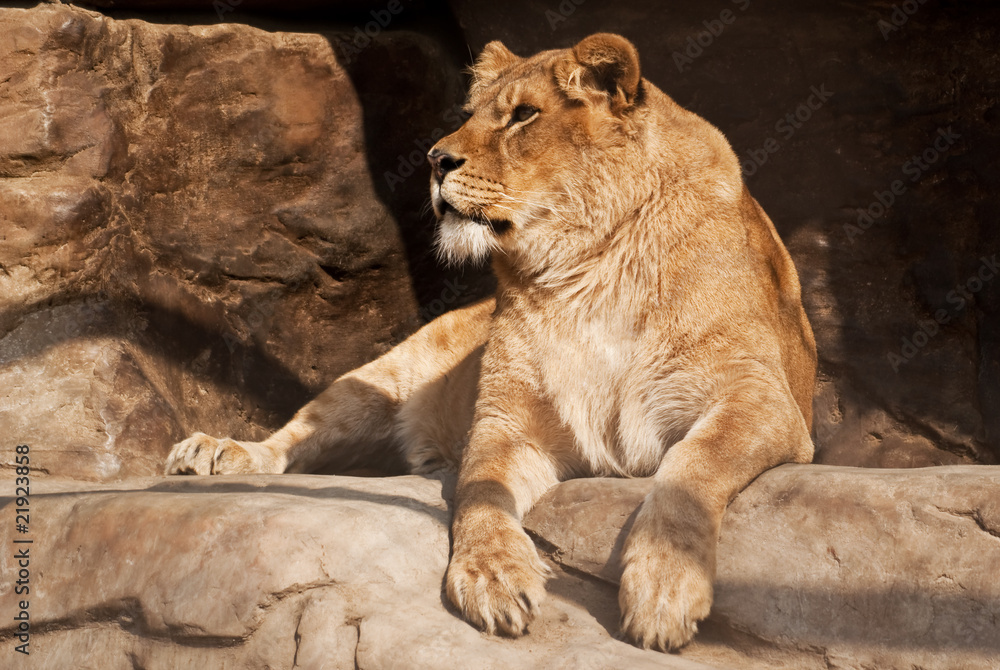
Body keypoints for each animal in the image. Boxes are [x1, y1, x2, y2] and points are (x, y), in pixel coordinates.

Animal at [165, 33, 816, 652]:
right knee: (295, 438)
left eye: (523, 115)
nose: (434, 159)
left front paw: (664, 587)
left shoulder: (763, 399)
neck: (588, 268)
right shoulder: (505, 421)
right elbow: (481, 494)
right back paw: (216, 453)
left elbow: (690, 467)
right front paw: (493, 577)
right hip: (375, 382)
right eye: (470, 114)